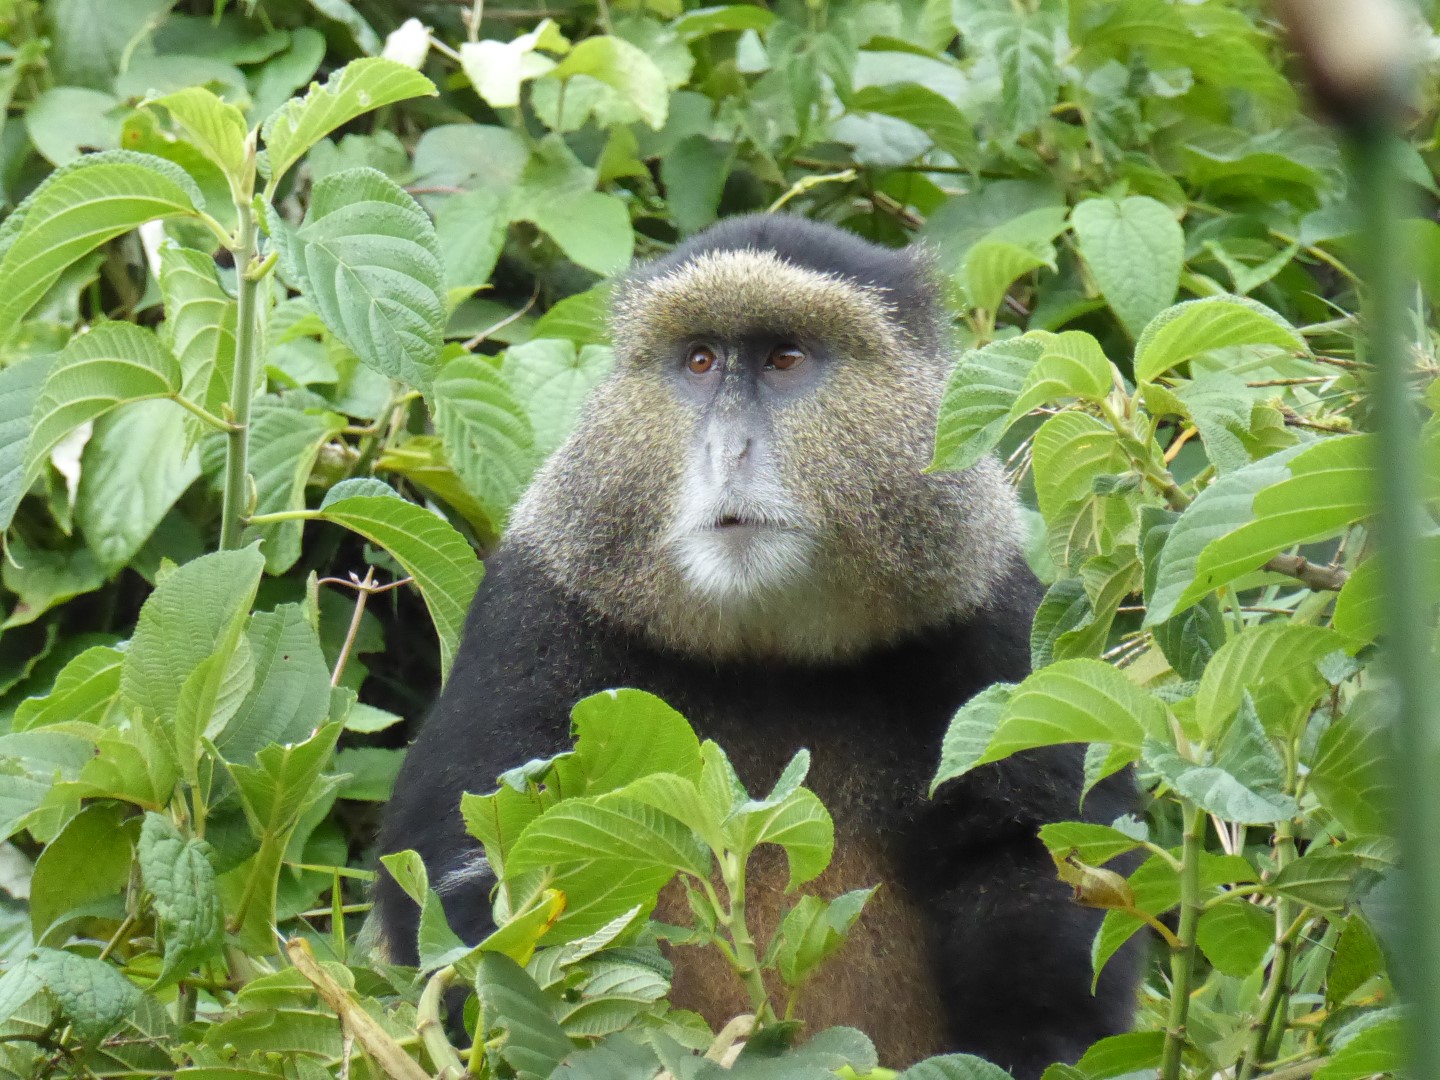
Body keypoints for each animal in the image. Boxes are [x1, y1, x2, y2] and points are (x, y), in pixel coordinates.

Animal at [376, 214, 1139, 1078]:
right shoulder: (530, 616)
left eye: (786, 359)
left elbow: (1045, 854)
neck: (765, 646)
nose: (729, 452)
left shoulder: (1000, 630)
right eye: (701, 360)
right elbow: (479, 867)